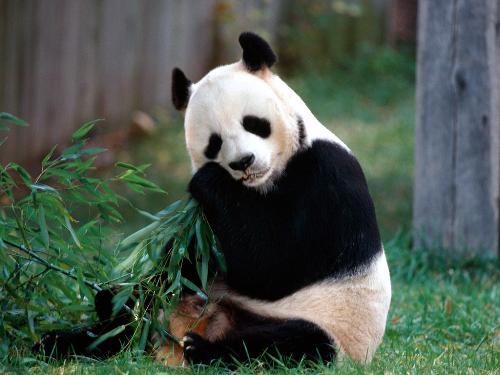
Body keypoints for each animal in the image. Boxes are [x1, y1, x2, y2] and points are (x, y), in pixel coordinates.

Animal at [35, 32, 390, 368]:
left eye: (253, 123)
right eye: (214, 143)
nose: (243, 162)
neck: (262, 184)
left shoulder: (325, 180)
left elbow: (272, 266)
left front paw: (208, 180)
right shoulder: (206, 226)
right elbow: (187, 256)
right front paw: (118, 296)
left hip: (333, 327)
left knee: (291, 343)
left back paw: (204, 350)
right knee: (133, 322)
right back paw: (75, 332)